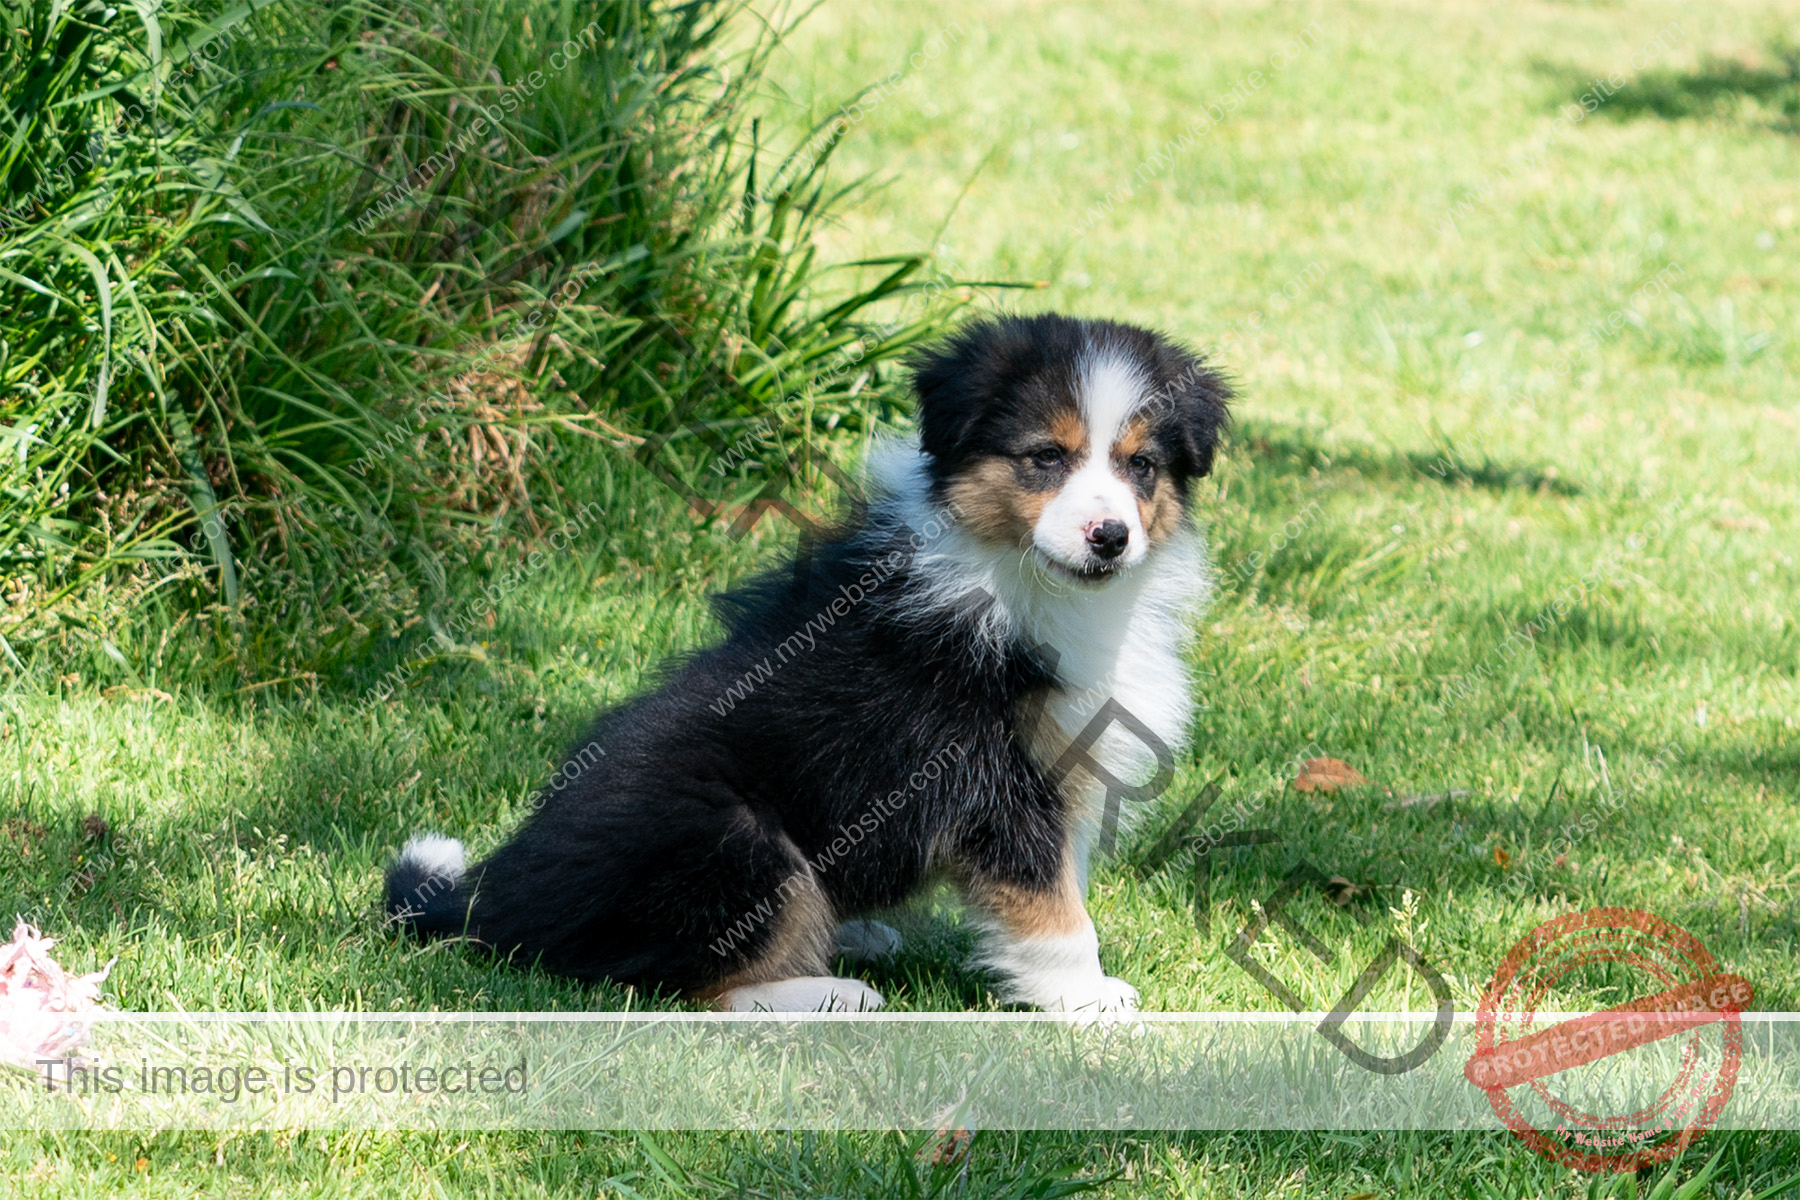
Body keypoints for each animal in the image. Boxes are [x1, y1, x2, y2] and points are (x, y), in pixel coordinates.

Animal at [378, 313, 1224, 1014]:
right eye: (1046, 456)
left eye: (1141, 466)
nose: (1110, 536)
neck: (1026, 583)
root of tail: (494, 902)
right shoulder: (980, 771)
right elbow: (1049, 898)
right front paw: (1086, 1002)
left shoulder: (1067, 758)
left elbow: (1063, 875)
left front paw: (1081, 988)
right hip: (737, 841)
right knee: (684, 986)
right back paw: (831, 991)